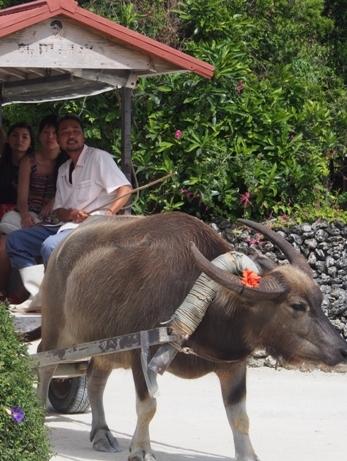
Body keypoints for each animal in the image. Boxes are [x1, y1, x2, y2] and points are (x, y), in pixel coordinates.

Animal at [36, 212, 347, 460]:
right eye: (297, 306)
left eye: (320, 300)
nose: (342, 350)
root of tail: (62, 247)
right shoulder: (141, 357)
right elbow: (147, 406)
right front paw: (141, 449)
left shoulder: (233, 365)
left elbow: (240, 417)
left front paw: (248, 455)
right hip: (57, 332)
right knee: (45, 364)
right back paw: (38, 413)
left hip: (106, 346)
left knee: (95, 380)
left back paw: (101, 433)